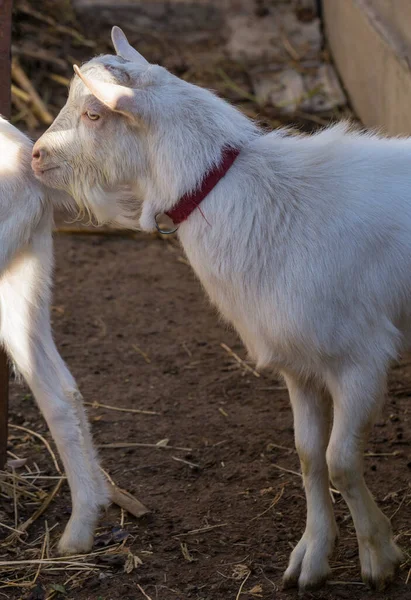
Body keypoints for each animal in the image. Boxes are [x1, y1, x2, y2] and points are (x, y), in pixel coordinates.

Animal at [33, 28, 408, 592]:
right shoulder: (300, 366)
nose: (34, 156)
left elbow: (340, 461)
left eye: (94, 113)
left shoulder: (361, 358)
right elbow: (309, 457)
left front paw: (380, 557)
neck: (266, 201)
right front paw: (312, 557)